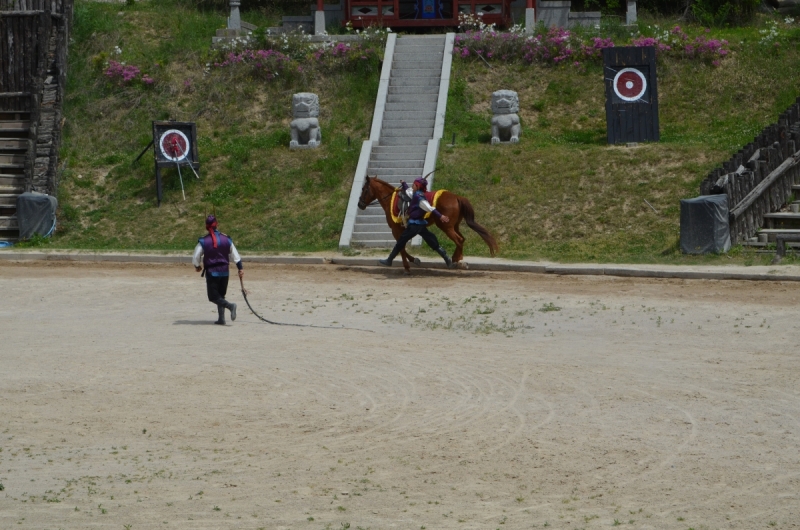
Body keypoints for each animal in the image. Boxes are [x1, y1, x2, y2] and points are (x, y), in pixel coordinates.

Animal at [358, 176, 496, 272]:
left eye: (364, 189)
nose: (360, 204)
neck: (391, 201)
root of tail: (457, 197)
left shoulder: (396, 230)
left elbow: (400, 247)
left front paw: (407, 266)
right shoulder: (406, 229)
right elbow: (402, 246)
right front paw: (413, 260)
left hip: (446, 226)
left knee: (459, 240)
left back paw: (456, 260)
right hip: (454, 226)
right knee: (461, 239)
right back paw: (456, 259)